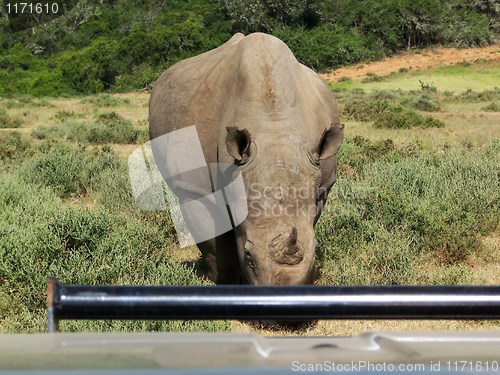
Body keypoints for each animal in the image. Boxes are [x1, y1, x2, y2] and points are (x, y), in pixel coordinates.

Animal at [148, 33, 344, 284]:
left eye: (315, 255)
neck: (274, 128)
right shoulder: (194, 188)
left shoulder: (322, 182)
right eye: (249, 256)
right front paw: (226, 281)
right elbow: (216, 247)